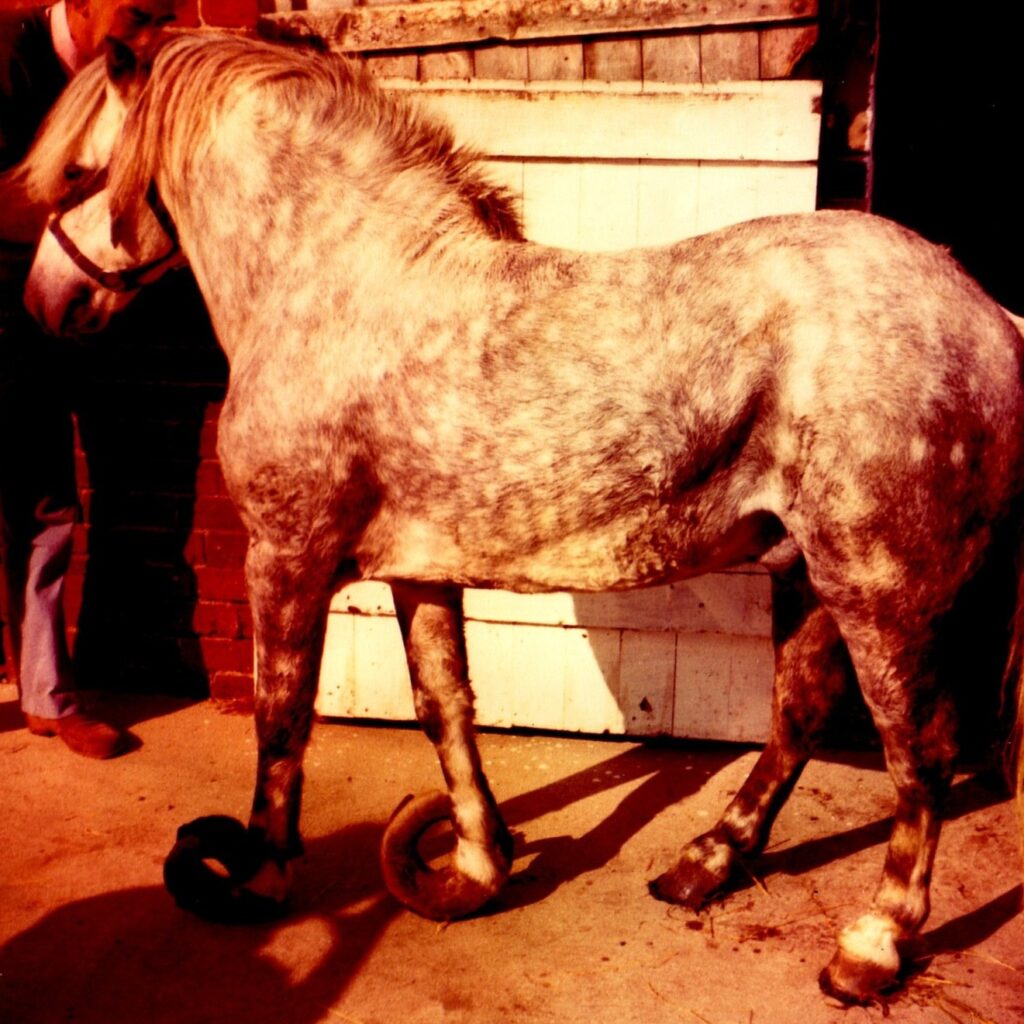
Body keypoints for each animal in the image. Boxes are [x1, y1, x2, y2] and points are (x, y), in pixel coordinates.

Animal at [15, 28, 1024, 1004]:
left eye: (75, 173)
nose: (43, 304)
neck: (336, 285)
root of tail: (991, 315)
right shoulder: (418, 569)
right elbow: (444, 708)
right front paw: (475, 869)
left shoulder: (285, 556)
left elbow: (281, 719)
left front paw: (260, 878)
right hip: (818, 573)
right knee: (802, 710)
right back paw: (705, 862)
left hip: (881, 591)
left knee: (920, 750)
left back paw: (872, 946)